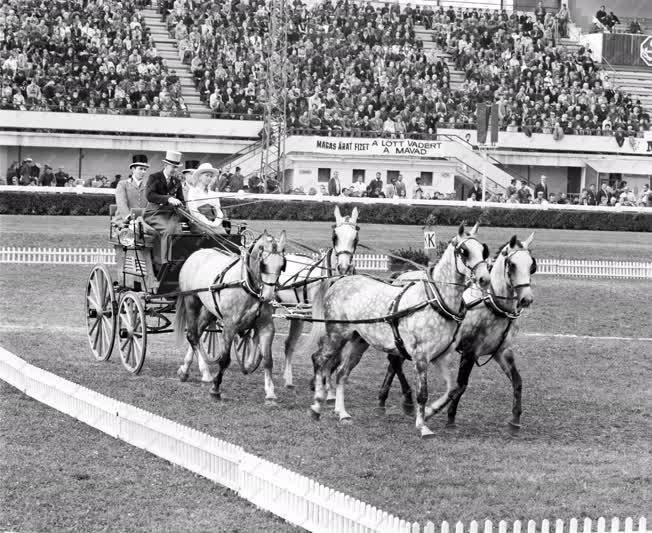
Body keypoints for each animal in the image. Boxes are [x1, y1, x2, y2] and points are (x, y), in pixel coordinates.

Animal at [174, 231, 286, 402]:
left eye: (282, 265)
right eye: (263, 265)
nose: (268, 296)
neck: (247, 285)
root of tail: (197, 253)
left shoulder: (267, 327)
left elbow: (268, 360)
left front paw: (270, 392)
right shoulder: (229, 326)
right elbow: (224, 360)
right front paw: (215, 389)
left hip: (209, 311)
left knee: (196, 334)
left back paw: (188, 370)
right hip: (191, 302)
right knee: (192, 335)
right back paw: (204, 372)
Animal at [306, 223, 488, 436]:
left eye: (483, 250)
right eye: (464, 251)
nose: (484, 279)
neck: (434, 301)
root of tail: (340, 280)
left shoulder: (441, 356)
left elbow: (452, 388)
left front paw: (430, 412)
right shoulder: (420, 357)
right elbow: (422, 393)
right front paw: (422, 426)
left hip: (359, 341)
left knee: (342, 373)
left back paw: (342, 413)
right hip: (337, 335)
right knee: (320, 359)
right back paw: (316, 406)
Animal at [382, 232, 536, 428]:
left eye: (531, 265)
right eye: (512, 264)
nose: (526, 299)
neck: (491, 304)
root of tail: (403, 275)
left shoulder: (502, 351)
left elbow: (517, 381)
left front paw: (515, 419)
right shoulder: (470, 351)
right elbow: (461, 385)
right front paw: (448, 416)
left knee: (393, 362)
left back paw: (383, 398)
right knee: (394, 362)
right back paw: (405, 399)